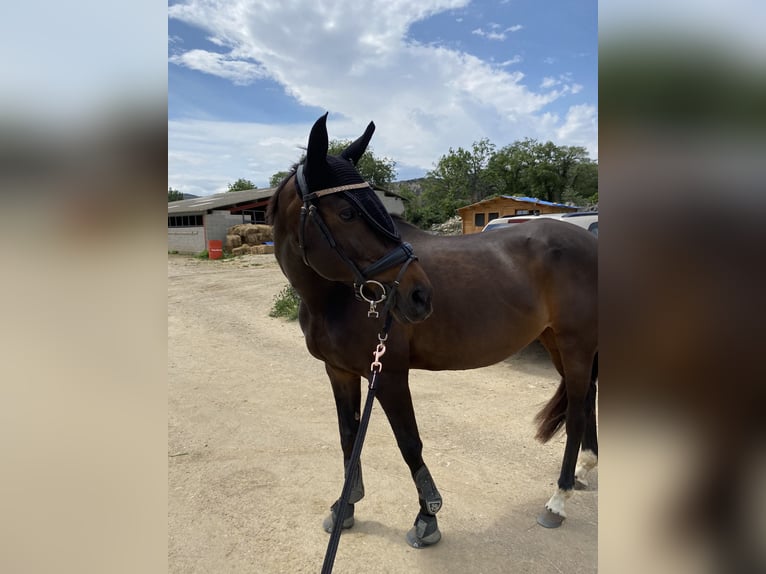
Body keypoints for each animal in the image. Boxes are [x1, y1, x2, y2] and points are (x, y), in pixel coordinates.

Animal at [267, 113, 598, 549]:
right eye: (347, 213)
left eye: (378, 208)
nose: (419, 295)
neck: (334, 297)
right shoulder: (338, 372)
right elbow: (348, 438)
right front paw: (345, 507)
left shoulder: (388, 375)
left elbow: (409, 443)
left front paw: (427, 517)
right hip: (556, 341)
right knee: (588, 400)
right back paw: (584, 470)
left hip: (577, 343)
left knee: (576, 412)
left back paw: (557, 501)